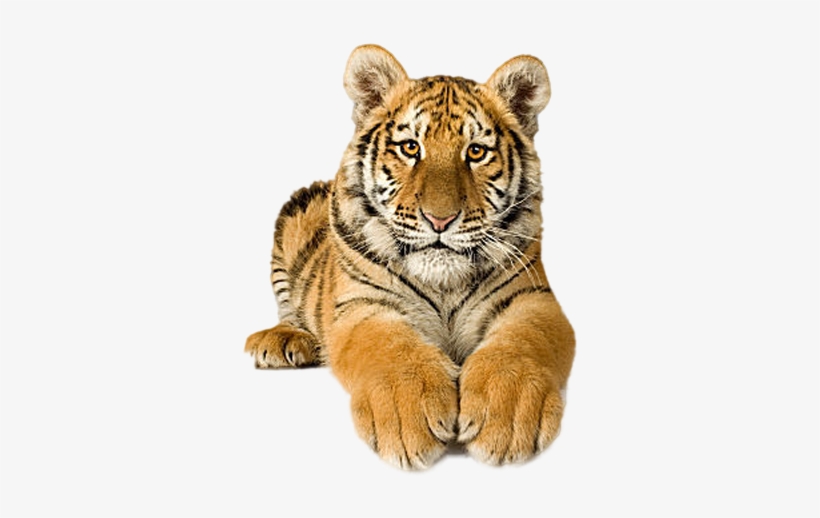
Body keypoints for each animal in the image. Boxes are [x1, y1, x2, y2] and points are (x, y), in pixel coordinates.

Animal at [245, 44, 575, 470]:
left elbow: (521, 344)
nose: (440, 219)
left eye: (476, 152)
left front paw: (508, 414)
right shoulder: (363, 306)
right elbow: (389, 348)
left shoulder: (532, 299)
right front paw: (408, 415)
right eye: (410, 148)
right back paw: (284, 341)